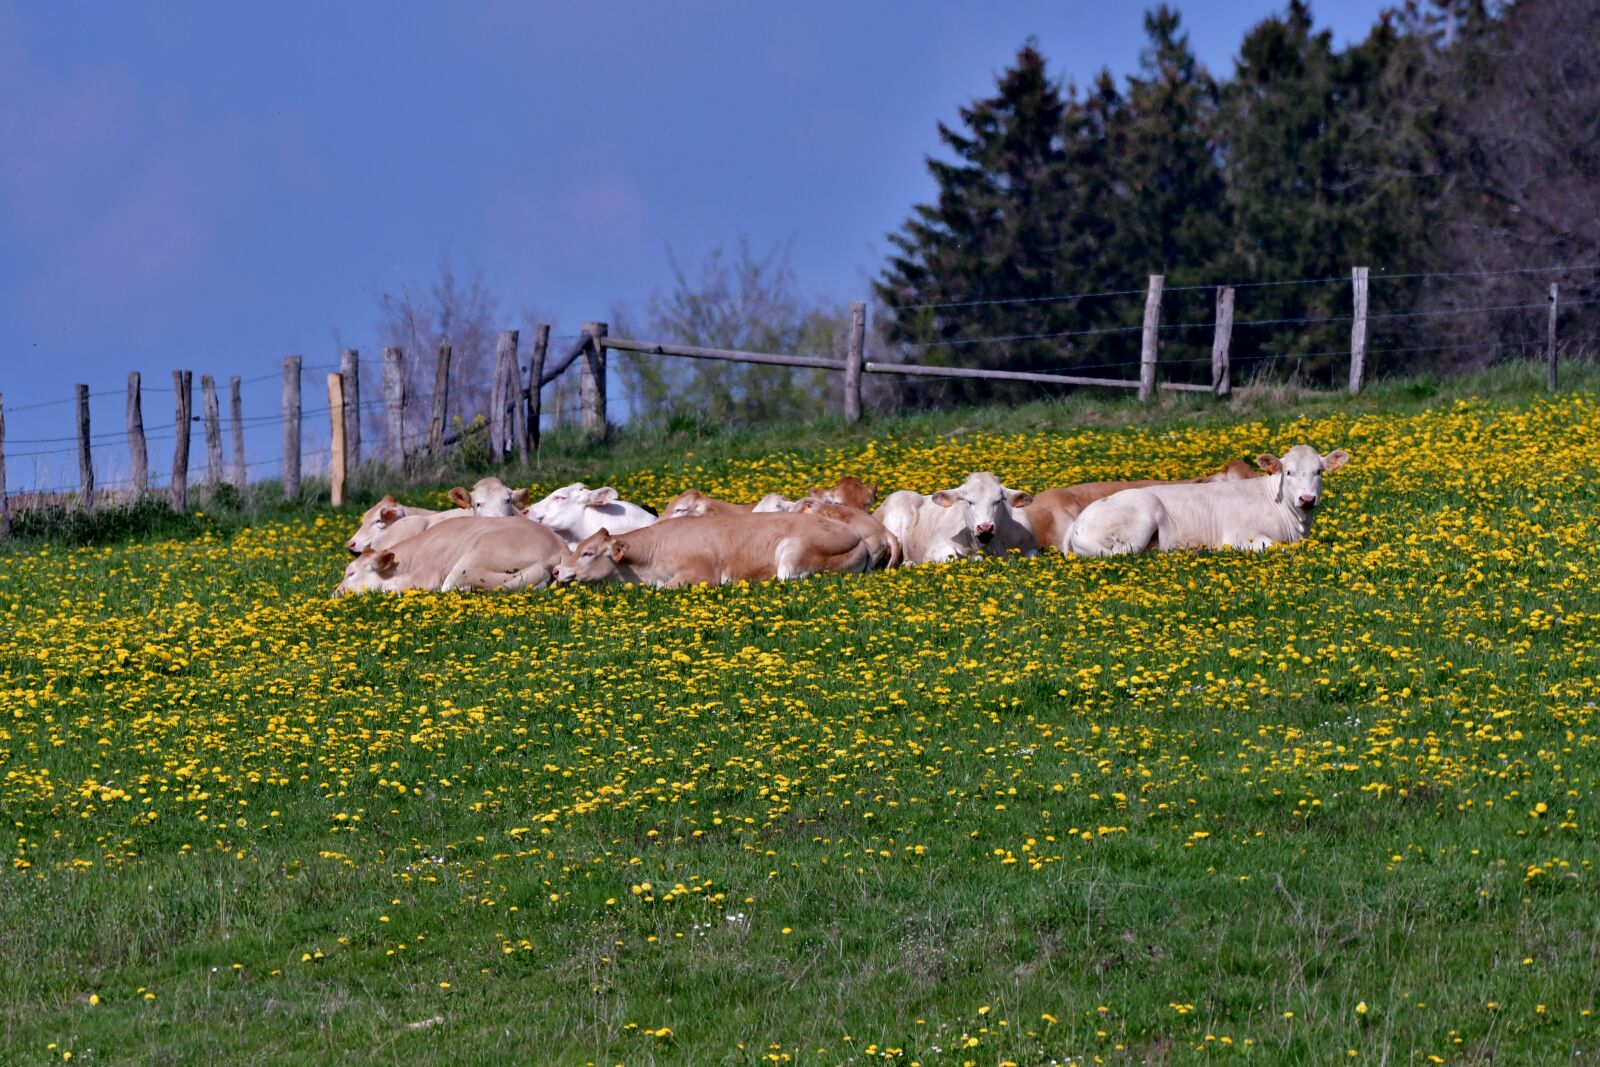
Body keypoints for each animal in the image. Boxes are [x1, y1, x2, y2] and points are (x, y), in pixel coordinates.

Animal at [1066, 445, 1350, 556]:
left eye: (1319, 471)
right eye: (1288, 472)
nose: (1307, 498)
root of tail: (1079, 521)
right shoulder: (1240, 537)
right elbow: (1276, 547)